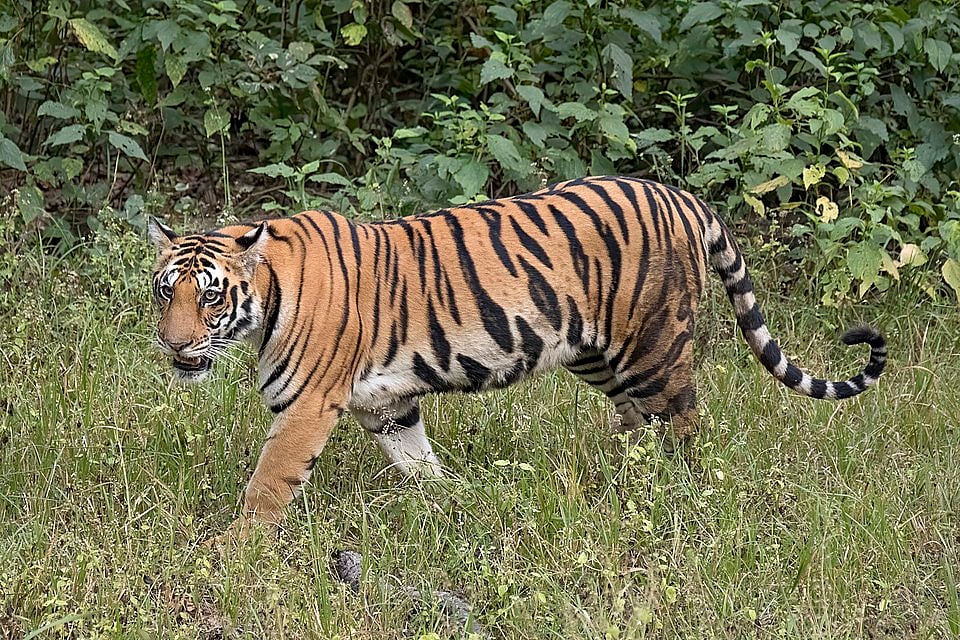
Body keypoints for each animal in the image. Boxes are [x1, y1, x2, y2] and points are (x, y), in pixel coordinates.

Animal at [148, 175, 887, 534]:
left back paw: (675, 495)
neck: (266, 300)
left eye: (210, 296)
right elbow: (418, 461)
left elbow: (268, 483)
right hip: (596, 354)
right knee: (636, 422)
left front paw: (236, 551)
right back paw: (621, 480)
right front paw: (454, 500)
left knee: (683, 424)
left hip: (653, 346)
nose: (175, 345)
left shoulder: (306, 405)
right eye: (164, 291)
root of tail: (680, 195)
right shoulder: (387, 404)